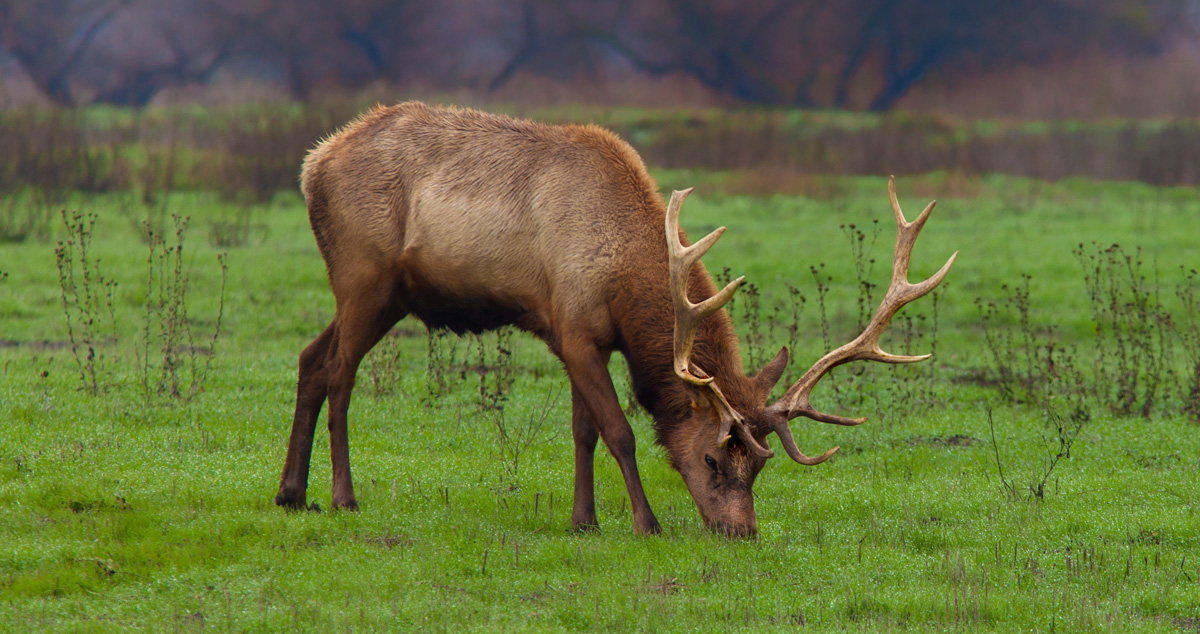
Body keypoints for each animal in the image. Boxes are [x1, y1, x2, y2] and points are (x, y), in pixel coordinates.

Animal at [274, 102, 957, 537]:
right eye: (712, 459)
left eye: (761, 464)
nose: (741, 532)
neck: (623, 279)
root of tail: (311, 166)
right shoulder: (574, 328)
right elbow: (619, 431)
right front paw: (644, 522)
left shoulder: (579, 337)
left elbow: (582, 430)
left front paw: (584, 521)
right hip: (363, 276)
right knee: (340, 375)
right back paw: (342, 497)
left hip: (389, 296)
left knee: (310, 358)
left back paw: (290, 493)